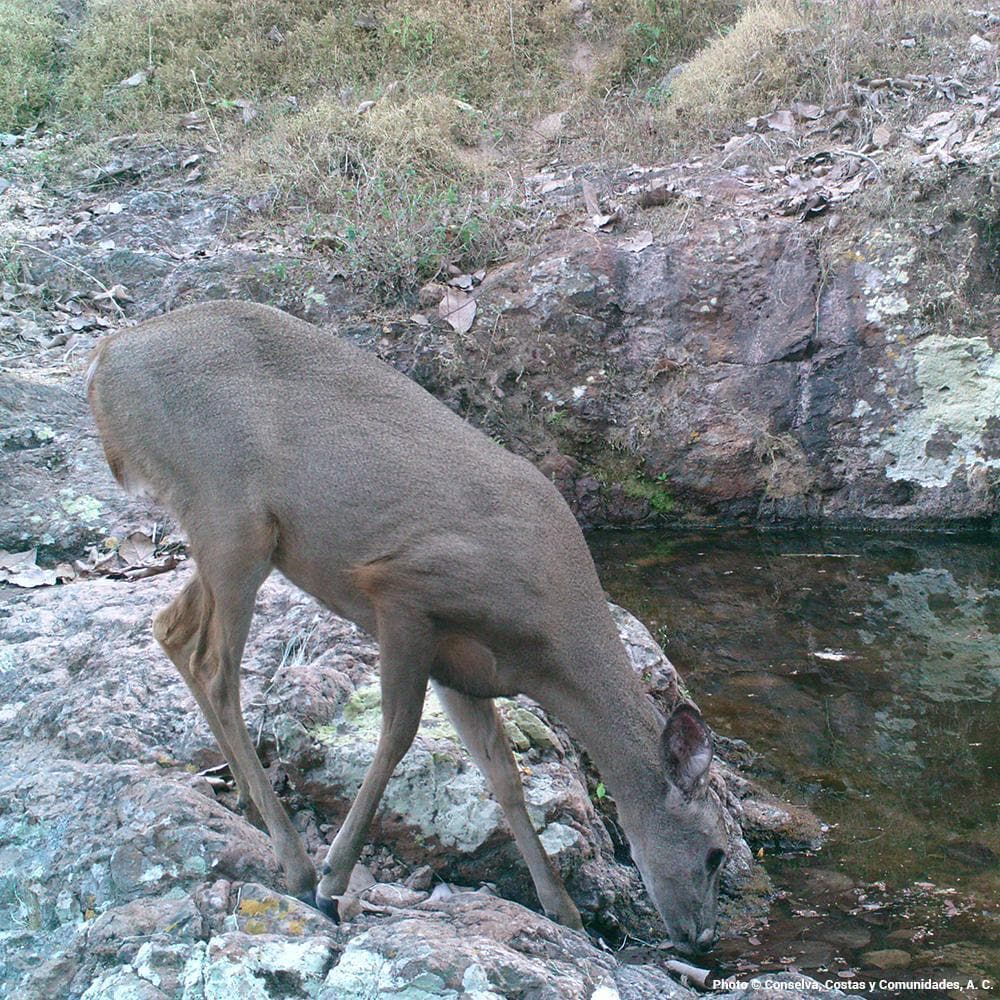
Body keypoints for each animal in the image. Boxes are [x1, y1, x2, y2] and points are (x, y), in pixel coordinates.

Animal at [86, 300, 728, 956]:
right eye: (715, 855)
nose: (703, 940)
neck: (546, 646)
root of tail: (105, 361)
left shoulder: (465, 669)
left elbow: (503, 776)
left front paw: (564, 912)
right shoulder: (406, 592)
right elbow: (397, 733)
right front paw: (335, 878)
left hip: (224, 533)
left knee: (171, 628)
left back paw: (244, 795)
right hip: (230, 512)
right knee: (216, 668)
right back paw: (297, 863)